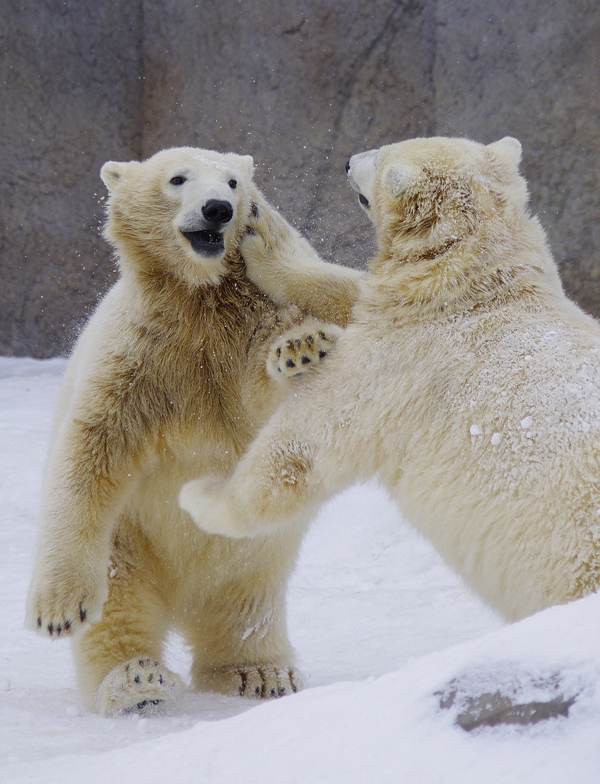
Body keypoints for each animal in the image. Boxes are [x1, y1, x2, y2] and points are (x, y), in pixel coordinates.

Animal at [27, 144, 360, 712]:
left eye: (232, 183)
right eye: (178, 179)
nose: (217, 210)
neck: (198, 299)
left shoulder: (249, 323)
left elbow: (277, 410)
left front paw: (303, 348)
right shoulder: (138, 356)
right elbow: (90, 450)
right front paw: (58, 610)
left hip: (255, 554)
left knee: (245, 600)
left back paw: (259, 672)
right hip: (129, 538)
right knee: (121, 598)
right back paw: (134, 681)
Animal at [180, 136, 600, 624]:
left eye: (381, 157)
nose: (347, 161)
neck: (475, 286)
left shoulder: (405, 362)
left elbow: (304, 444)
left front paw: (202, 495)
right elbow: (353, 293)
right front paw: (263, 236)